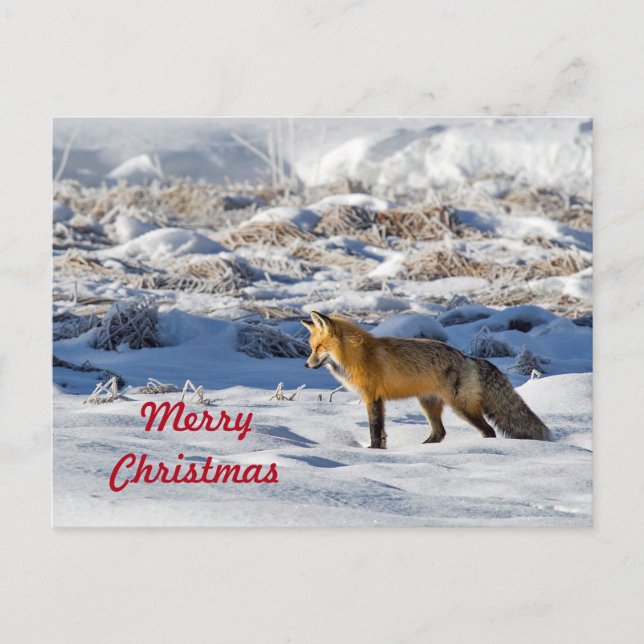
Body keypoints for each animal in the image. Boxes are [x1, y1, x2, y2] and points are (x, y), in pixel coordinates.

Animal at [302, 311, 551, 449]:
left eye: (318, 348)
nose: (305, 365)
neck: (358, 355)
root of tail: (467, 357)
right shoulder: (377, 399)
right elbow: (381, 433)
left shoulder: (373, 397)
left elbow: (375, 430)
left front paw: (373, 451)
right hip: (428, 404)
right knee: (440, 433)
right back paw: (423, 450)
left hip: (462, 407)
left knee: (488, 430)